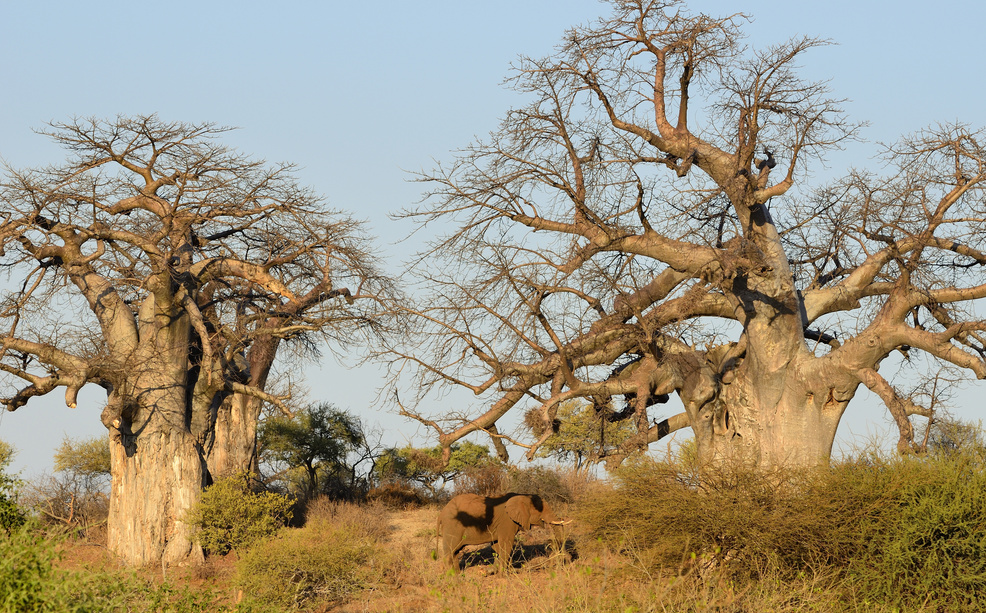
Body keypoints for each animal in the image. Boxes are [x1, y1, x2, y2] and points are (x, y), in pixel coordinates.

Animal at [434, 490, 564, 572]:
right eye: (541, 510)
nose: (550, 543)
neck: (522, 496)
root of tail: (441, 514)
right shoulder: (507, 521)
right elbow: (506, 544)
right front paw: (503, 574)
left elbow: (497, 546)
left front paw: (498, 570)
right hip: (453, 527)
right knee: (450, 551)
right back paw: (451, 576)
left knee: (455, 552)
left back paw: (456, 573)